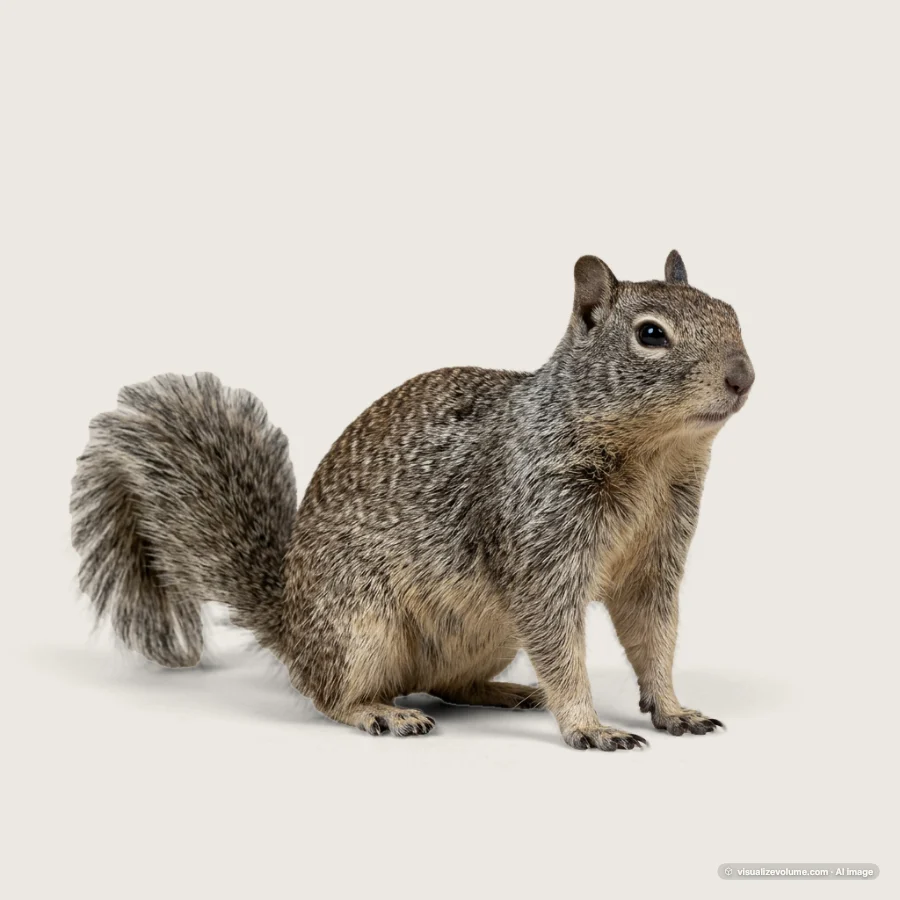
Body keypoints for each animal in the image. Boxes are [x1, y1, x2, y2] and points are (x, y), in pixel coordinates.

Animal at [70, 250, 754, 750]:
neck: (653, 460)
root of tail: (291, 623)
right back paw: (383, 713)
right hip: (358, 625)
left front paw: (674, 709)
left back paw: (507, 692)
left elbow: (654, 637)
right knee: (332, 695)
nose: (743, 376)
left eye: (730, 311)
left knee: (447, 684)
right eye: (650, 335)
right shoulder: (537, 541)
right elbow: (561, 646)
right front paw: (589, 726)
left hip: (483, 636)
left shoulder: (655, 561)